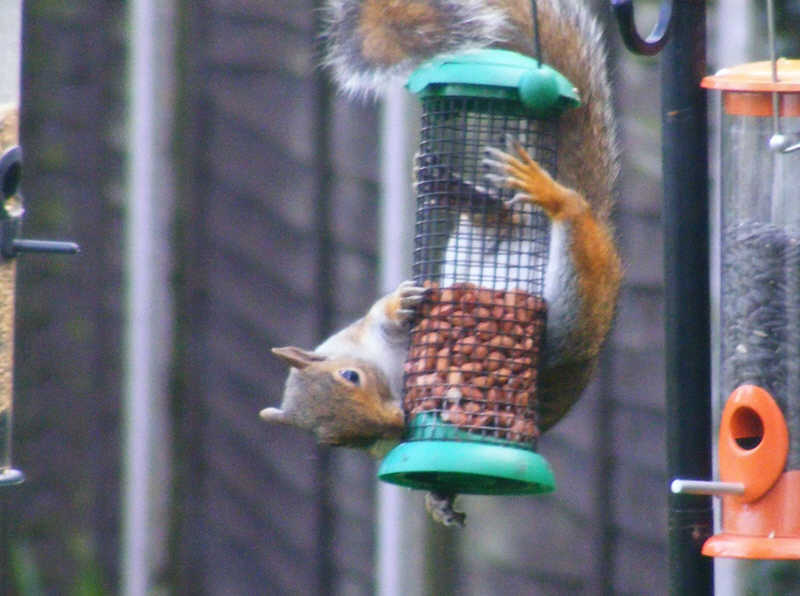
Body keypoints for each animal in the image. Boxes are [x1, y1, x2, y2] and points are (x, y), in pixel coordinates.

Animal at [260, 0, 620, 528]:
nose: (396, 420)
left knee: (571, 218)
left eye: (350, 377)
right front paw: (440, 499)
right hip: (476, 248)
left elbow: (381, 315)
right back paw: (462, 193)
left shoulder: (362, 334)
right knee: (501, 219)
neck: (387, 372)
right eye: (337, 441)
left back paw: (545, 194)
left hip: (575, 310)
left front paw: (400, 305)